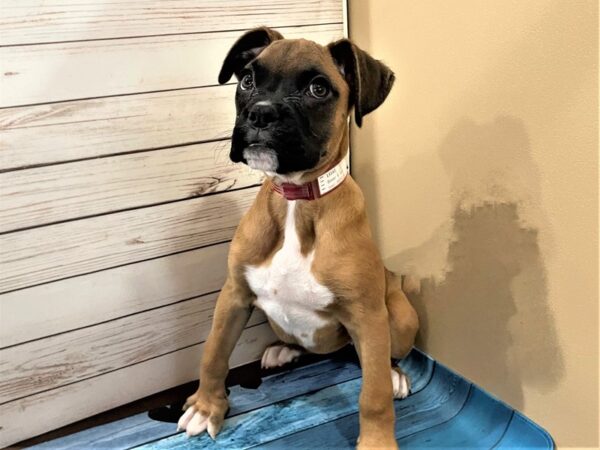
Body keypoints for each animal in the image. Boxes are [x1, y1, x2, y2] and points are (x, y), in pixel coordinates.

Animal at [176, 27, 420, 446]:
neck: (296, 200)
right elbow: (214, 352)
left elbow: (372, 396)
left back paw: (392, 374)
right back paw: (284, 350)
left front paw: (376, 442)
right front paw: (206, 407)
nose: (260, 112)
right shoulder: (234, 295)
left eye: (318, 89)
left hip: (400, 319)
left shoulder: (367, 316)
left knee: (378, 359)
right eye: (247, 80)